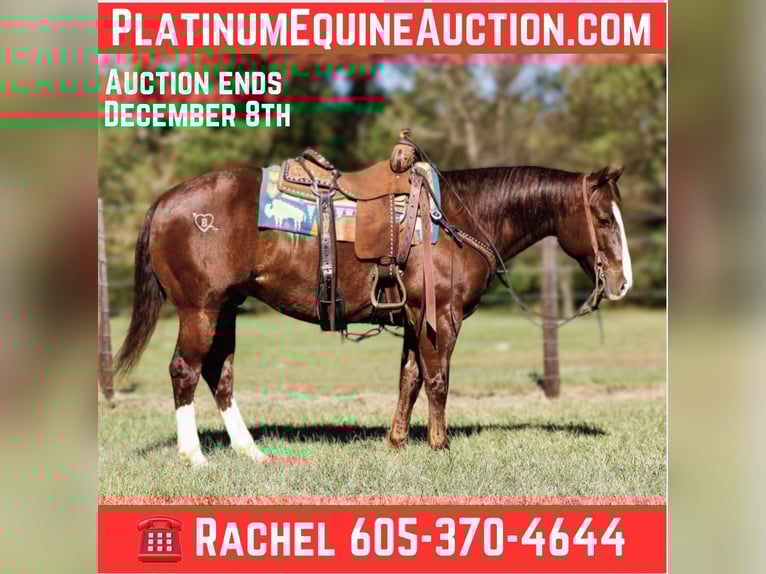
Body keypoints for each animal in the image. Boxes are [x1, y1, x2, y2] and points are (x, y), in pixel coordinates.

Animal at [114, 163, 632, 466]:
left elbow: (410, 378)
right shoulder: (441, 318)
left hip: (225, 309)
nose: (622, 281)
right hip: (199, 309)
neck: (456, 219)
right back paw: (194, 456)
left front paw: (398, 441)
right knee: (184, 371)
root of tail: (165, 203)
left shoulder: (415, 318)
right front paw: (439, 445)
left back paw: (250, 450)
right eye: (605, 219)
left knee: (218, 375)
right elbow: (437, 379)